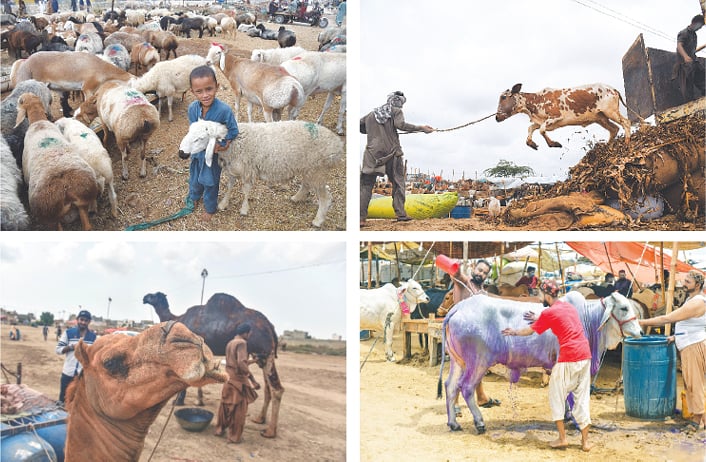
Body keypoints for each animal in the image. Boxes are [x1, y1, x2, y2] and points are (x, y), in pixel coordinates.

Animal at [143, 290, 284, 438]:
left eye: (154, 295)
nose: (144, 298)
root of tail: (270, 326)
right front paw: (199, 401)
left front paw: (179, 401)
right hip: (262, 356)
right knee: (267, 388)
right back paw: (259, 419)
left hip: (264, 351)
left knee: (277, 389)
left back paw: (270, 431)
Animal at [438, 290, 640, 434]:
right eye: (624, 308)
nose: (639, 331)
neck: (588, 320)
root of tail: (458, 308)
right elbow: (572, 396)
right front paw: (575, 420)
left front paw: (568, 416)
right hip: (478, 362)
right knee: (466, 387)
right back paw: (479, 423)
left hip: (459, 362)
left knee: (450, 386)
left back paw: (453, 423)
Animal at [496, 82, 632, 149]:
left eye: (503, 97)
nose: (497, 117)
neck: (536, 100)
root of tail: (613, 89)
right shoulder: (542, 121)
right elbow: (531, 128)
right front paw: (532, 144)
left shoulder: (556, 117)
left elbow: (541, 130)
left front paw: (554, 144)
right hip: (601, 118)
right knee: (614, 129)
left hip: (611, 111)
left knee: (626, 122)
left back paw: (627, 142)